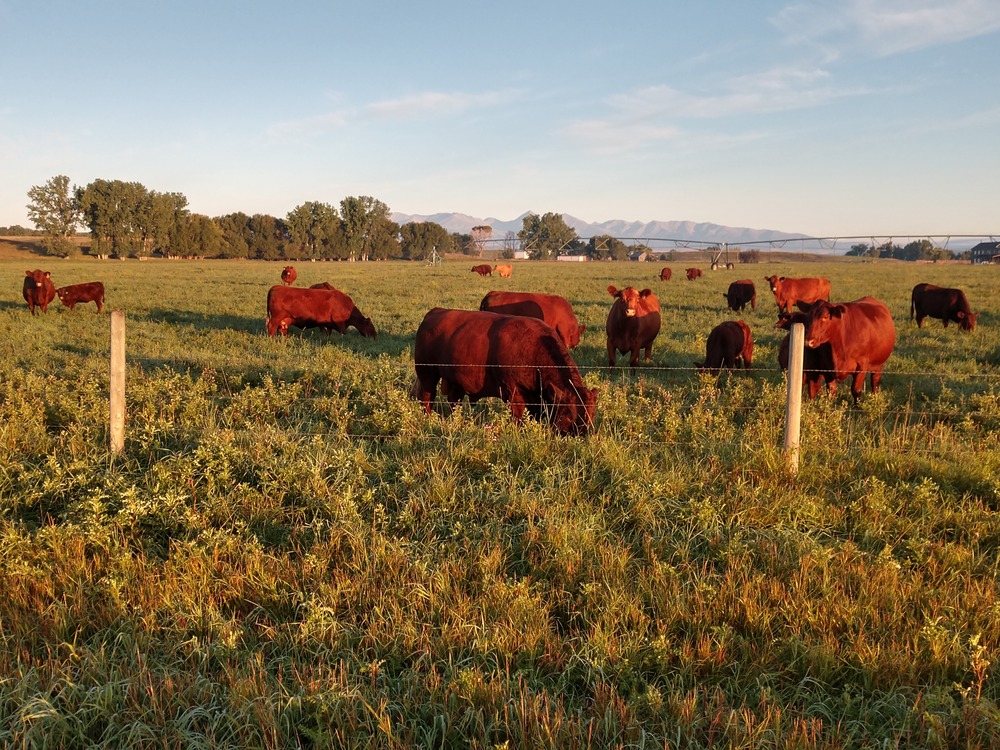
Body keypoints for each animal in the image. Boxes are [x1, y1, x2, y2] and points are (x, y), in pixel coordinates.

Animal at [412, 308, 596, 438]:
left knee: (454, 402)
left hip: (455, 382)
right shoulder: (513, 392)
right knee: (427, 398)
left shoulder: (535, 396)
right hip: (427, 374)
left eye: (591, 415)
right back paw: (428, 418)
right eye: (569, 415)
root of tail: (434, 312)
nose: (582, 436)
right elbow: (517, 417)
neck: (533, 348)